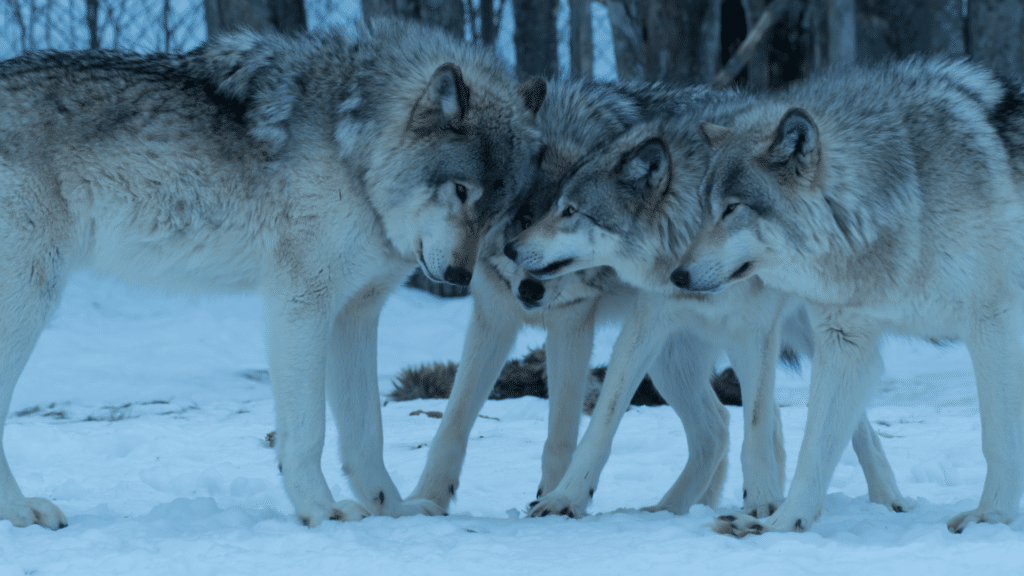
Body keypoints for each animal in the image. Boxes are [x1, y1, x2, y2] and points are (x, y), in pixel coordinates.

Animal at [0, 17, 548, 528]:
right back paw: (21, 510)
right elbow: (308, 431)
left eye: (497, 209)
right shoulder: (301, 301)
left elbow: (367, 433)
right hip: (31, 296)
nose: (458, 277)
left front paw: (392, 512)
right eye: (460, 190)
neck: (352, 149)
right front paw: (321, 511)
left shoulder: (356, 314)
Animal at [671, 57, 1024, 532]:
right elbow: (813, 450)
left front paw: (991, 517)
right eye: (705, 208)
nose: (678, 275)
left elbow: (998, 437)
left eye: (732, 208)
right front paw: (781, 524)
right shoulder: (844, 340)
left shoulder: (993, 323)